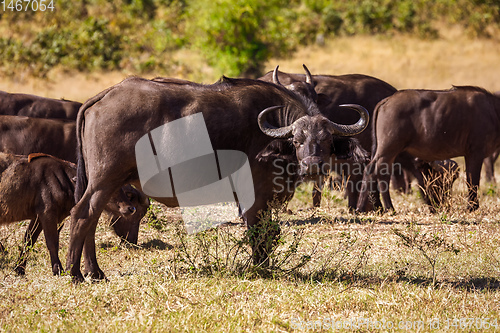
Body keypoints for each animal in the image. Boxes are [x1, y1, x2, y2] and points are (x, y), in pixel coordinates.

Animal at [0, 152, 144, 274]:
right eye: (112, 190)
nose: (131, 208)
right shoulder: (47, 214)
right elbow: (52, 242)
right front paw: (58, 270)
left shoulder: (37, 218)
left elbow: (28, 241)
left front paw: (19, 269)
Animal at [66, 68, 368, 282]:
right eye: (297, 140)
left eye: (327, 140)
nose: (313, 165)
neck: (273, 131)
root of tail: (106, 94)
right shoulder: (255, 196)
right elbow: (259, 232)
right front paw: (260, 268)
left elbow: (269, 231)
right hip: (105, 178)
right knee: (82, 214)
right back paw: (75, 273)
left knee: (91, 218)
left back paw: (94, 272)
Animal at [356, 85, 500, 210]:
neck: (493, 110)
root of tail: (387, 100)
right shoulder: (476, 153)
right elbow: (473, 180)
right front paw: (472, 207)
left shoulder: (470, 155)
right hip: (388, 149)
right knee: (372, 170)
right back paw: (374, 207)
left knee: (380, 173)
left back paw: (376, 207)